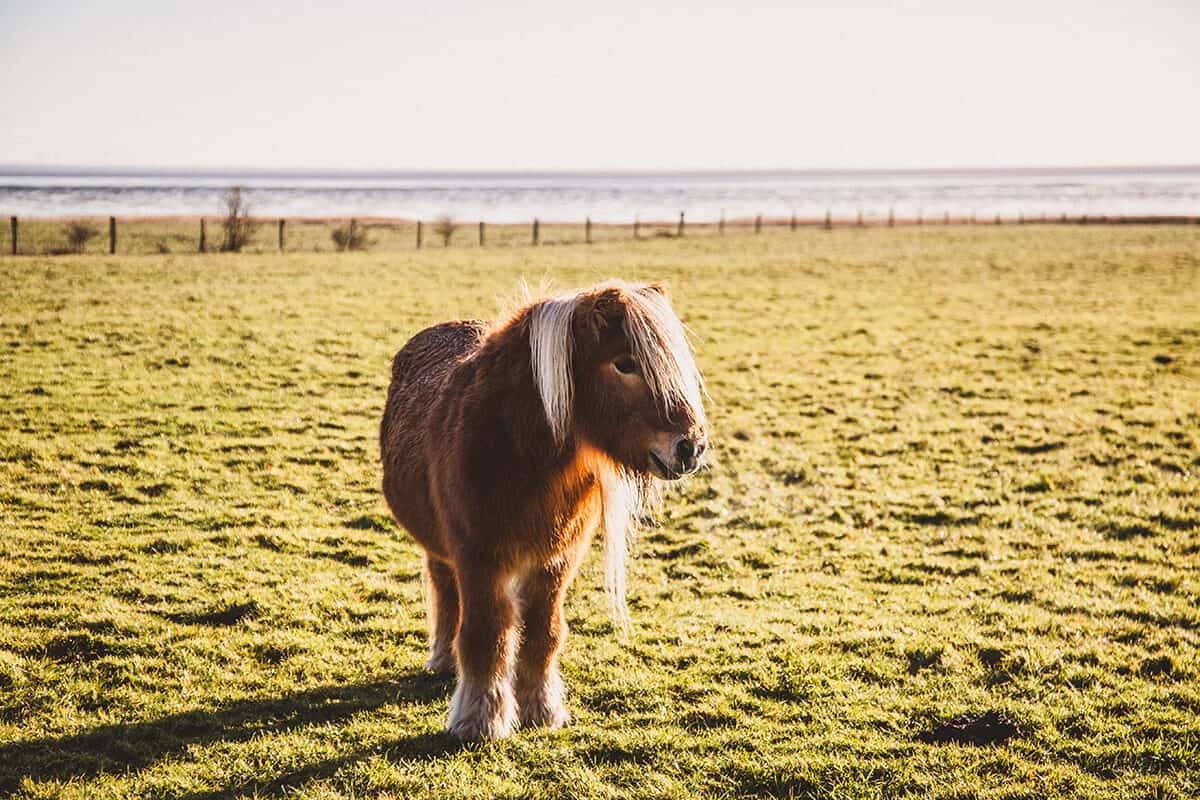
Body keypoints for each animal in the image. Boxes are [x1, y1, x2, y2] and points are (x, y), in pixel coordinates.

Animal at [379, 278, 705, 743]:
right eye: (624, 364)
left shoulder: (556, 559)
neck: (519, 453)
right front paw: (478, 720)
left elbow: (543, 633)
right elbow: (485, 634)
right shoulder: (479, 557)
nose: (691, 447)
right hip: (440, 547)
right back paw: (443, 659)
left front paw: (541, 709)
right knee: (445, 591)